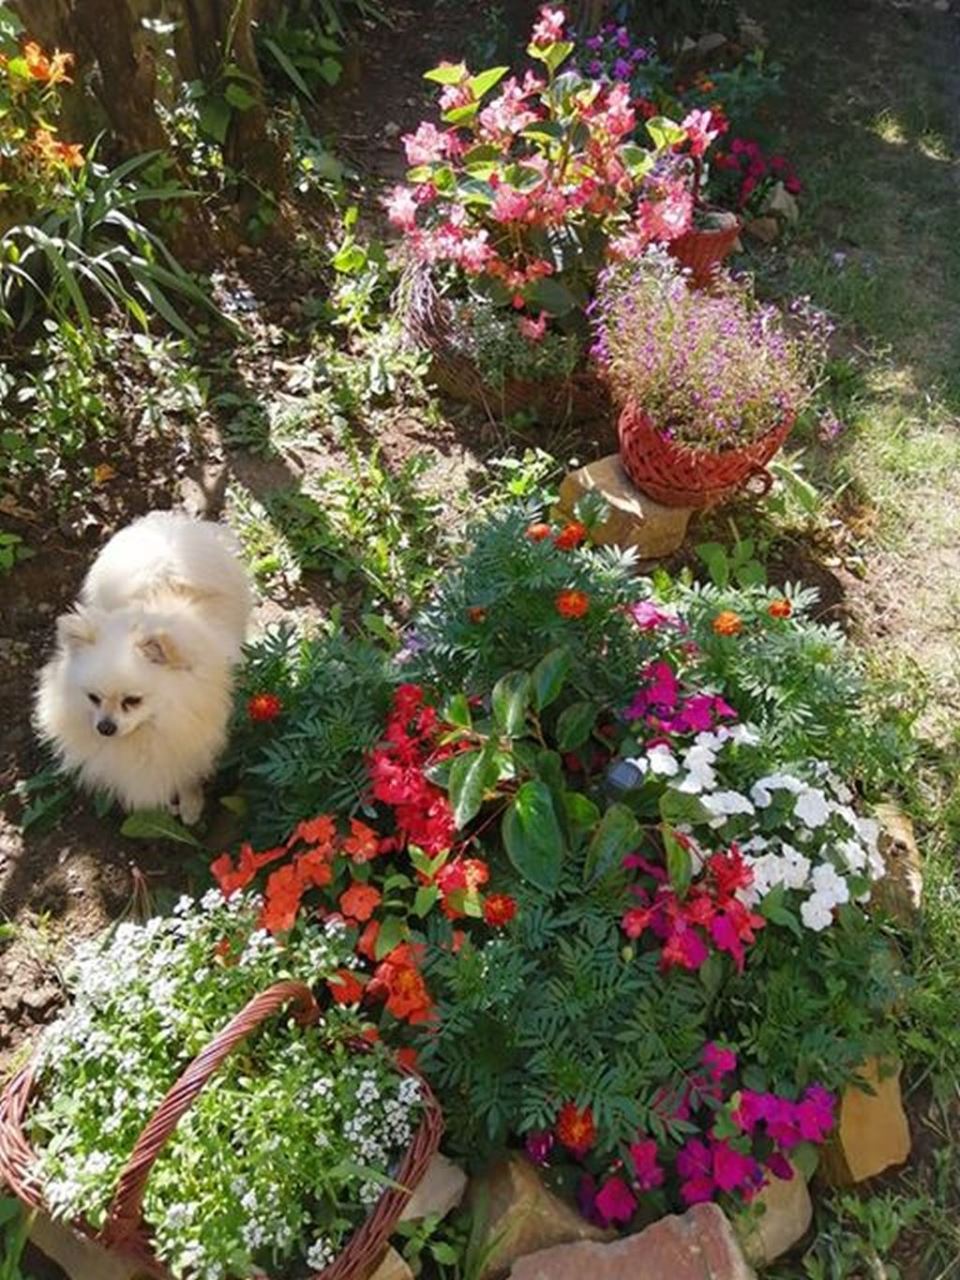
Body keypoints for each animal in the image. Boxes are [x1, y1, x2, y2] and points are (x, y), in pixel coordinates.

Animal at [35, 512, 253, 824]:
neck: (150, 731)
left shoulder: (191, 744)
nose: (105, 727)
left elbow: (187, 775)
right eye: (93, 698)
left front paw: (190, 805)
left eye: (132, 701)